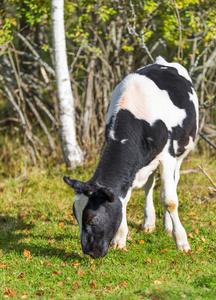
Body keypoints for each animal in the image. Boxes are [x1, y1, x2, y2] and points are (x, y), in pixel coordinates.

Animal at [63, 57, 199, 258]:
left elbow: (169, 200)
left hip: (181, 152)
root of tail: (161, 60)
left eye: (93, 219)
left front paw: (181, 241)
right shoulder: (131, 170)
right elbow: (124, 199)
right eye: (76, 217)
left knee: (172, 184)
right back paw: (149, 223)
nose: (89, 252)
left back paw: (167, 226)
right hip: (149, 164)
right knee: (149, 186)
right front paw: (120, 239)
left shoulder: (167, 156)